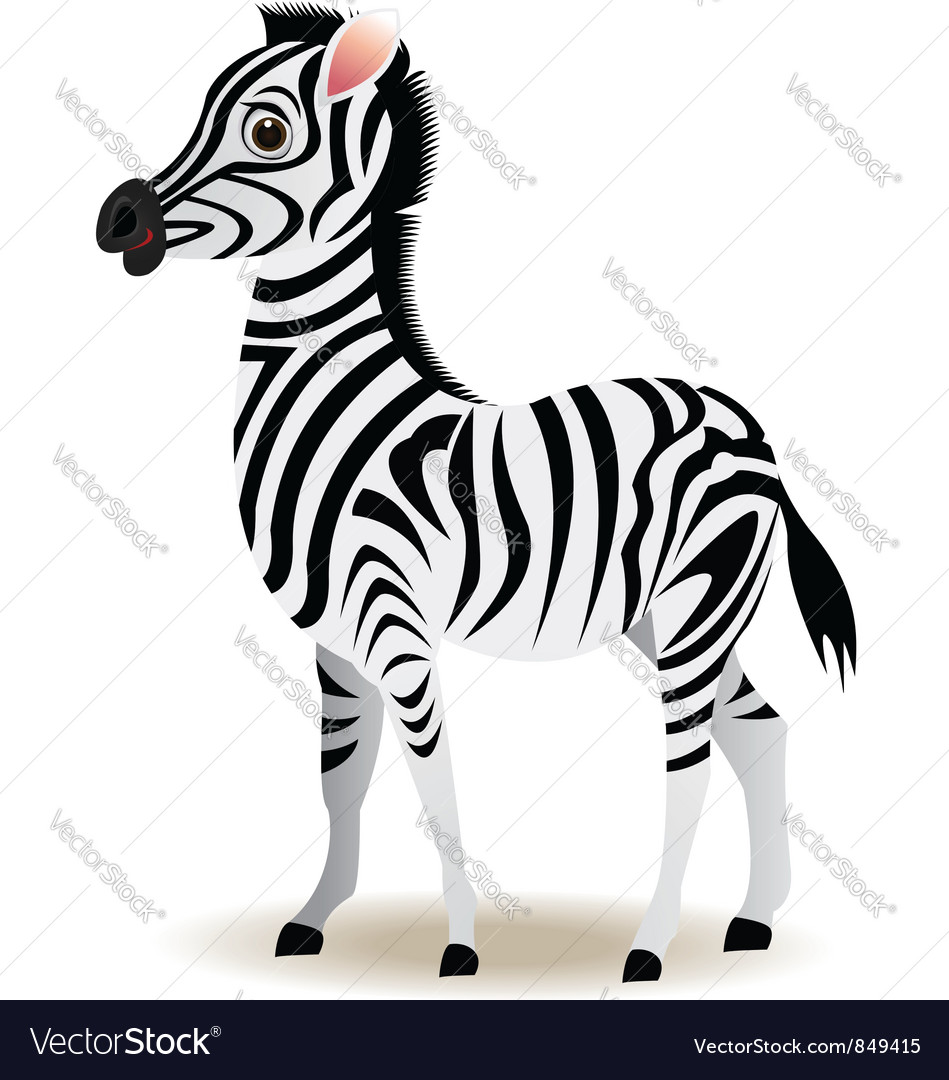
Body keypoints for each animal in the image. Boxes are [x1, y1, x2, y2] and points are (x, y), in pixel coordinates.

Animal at [96, 4, 856, 982]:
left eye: (266, 131)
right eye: (198, 112)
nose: (117, 217)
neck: (344, 409)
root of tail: (747, 427)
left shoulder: (397, 629)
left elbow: (437, 787)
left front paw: (458, 947)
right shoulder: (334, 641)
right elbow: (339, 782)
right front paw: (313, 918)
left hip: (697, 608)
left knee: (685, 766)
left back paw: (650, 947)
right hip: (672, 616)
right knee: (760, 729)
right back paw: (754, 918)